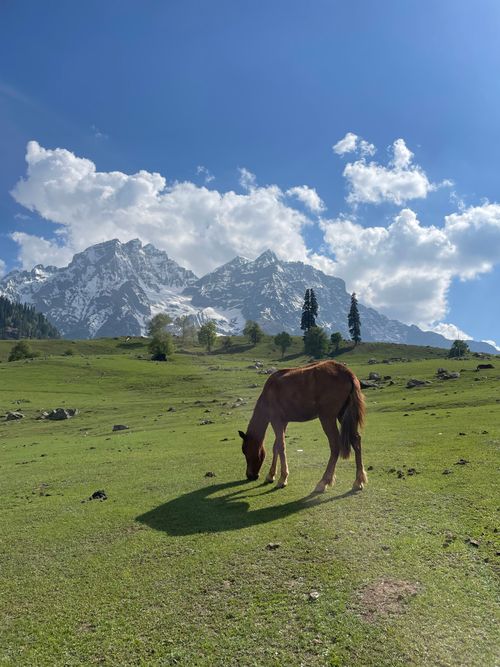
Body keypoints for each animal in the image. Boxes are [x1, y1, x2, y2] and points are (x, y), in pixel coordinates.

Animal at [238, 360, 367, 493]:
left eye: (245, 450)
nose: (250, 475)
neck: (268, 393)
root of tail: (347, 373)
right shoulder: (283, 422)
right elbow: (276, 447)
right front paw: (271, 475)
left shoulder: (276, 421)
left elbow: (281, 447)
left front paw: (282, 479)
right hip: (343, 415)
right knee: (356, 440)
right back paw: (358, 481)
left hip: (327, 418)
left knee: (335, 445)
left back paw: (323, 482)